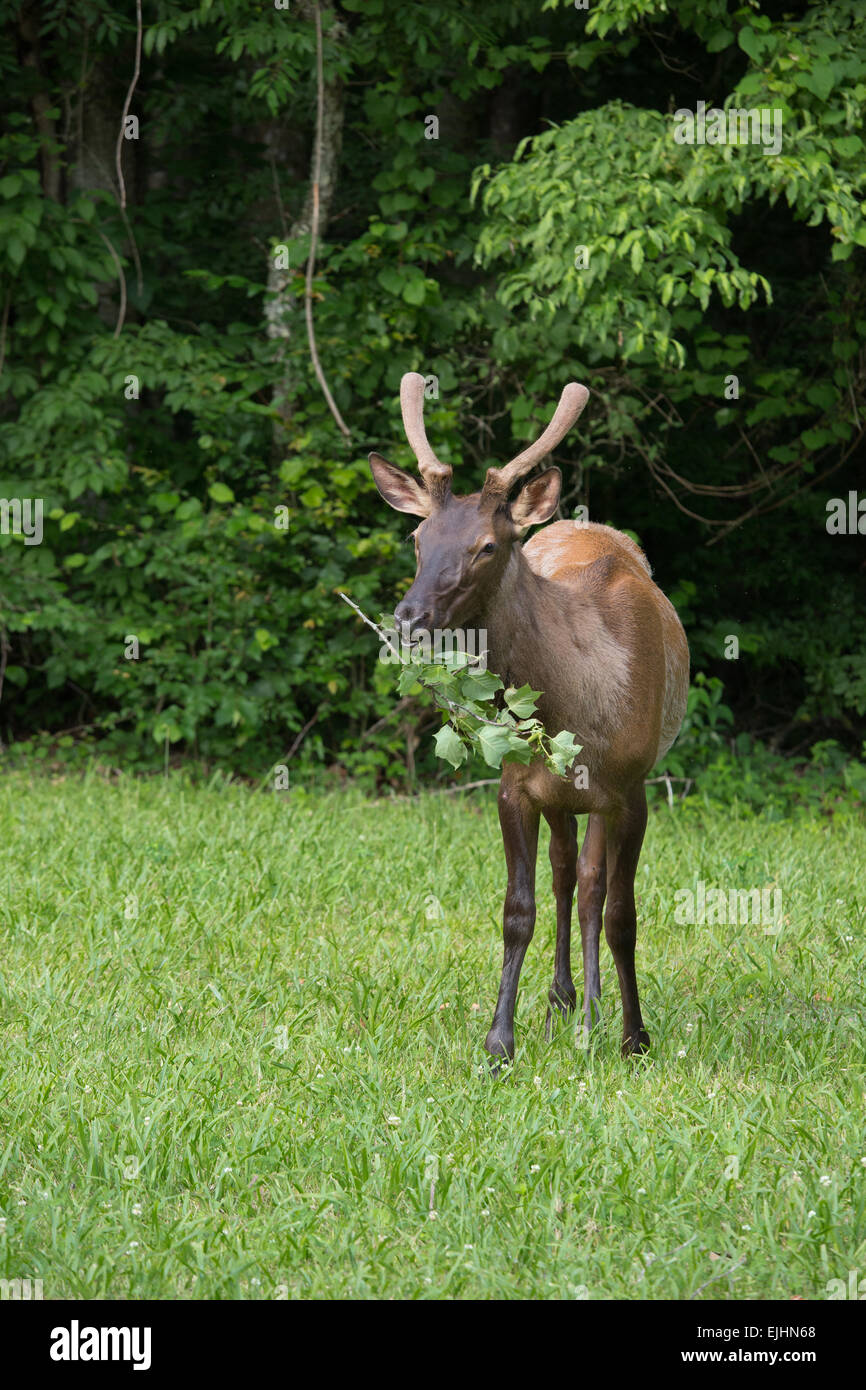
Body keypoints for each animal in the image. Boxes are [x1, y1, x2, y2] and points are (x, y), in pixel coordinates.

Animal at [369, 375, 686, 1056]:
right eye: (417, 539)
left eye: (488, 545)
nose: (407, 620)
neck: (583, 707)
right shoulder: (514, 785)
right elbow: (519, 911)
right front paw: (499, 1043)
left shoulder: (633, 788)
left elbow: (623, 914)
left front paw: (635, 1037)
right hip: (558, 793)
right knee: (568, 875)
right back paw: (564, 998)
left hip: (600, 796)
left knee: (591, 885)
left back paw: (592, 1008)